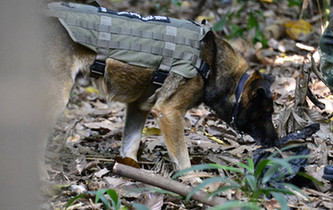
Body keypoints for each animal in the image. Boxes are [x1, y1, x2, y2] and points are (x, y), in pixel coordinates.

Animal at [42, 2, 278, 172]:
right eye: (266, 114)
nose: (276, 142)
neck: (212, 63)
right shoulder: (169, 112)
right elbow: (183, 159)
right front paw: (193, 182)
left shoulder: (138, 108)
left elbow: (130, 146)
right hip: (56, 100)